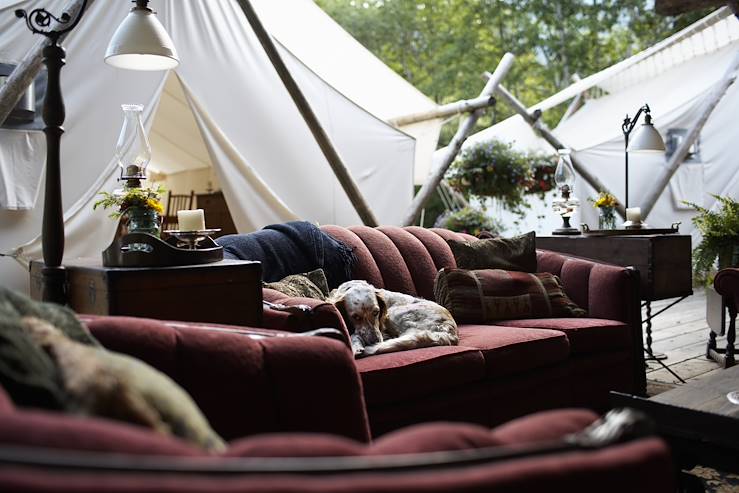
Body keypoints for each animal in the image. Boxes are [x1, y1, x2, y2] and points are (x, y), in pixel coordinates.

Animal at [328, 278, 456, 356]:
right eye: (355, 317)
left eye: (376, 312)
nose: (375, 341)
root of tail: (449, 331)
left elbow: (356, 334)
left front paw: (356, 345)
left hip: (393, 313)